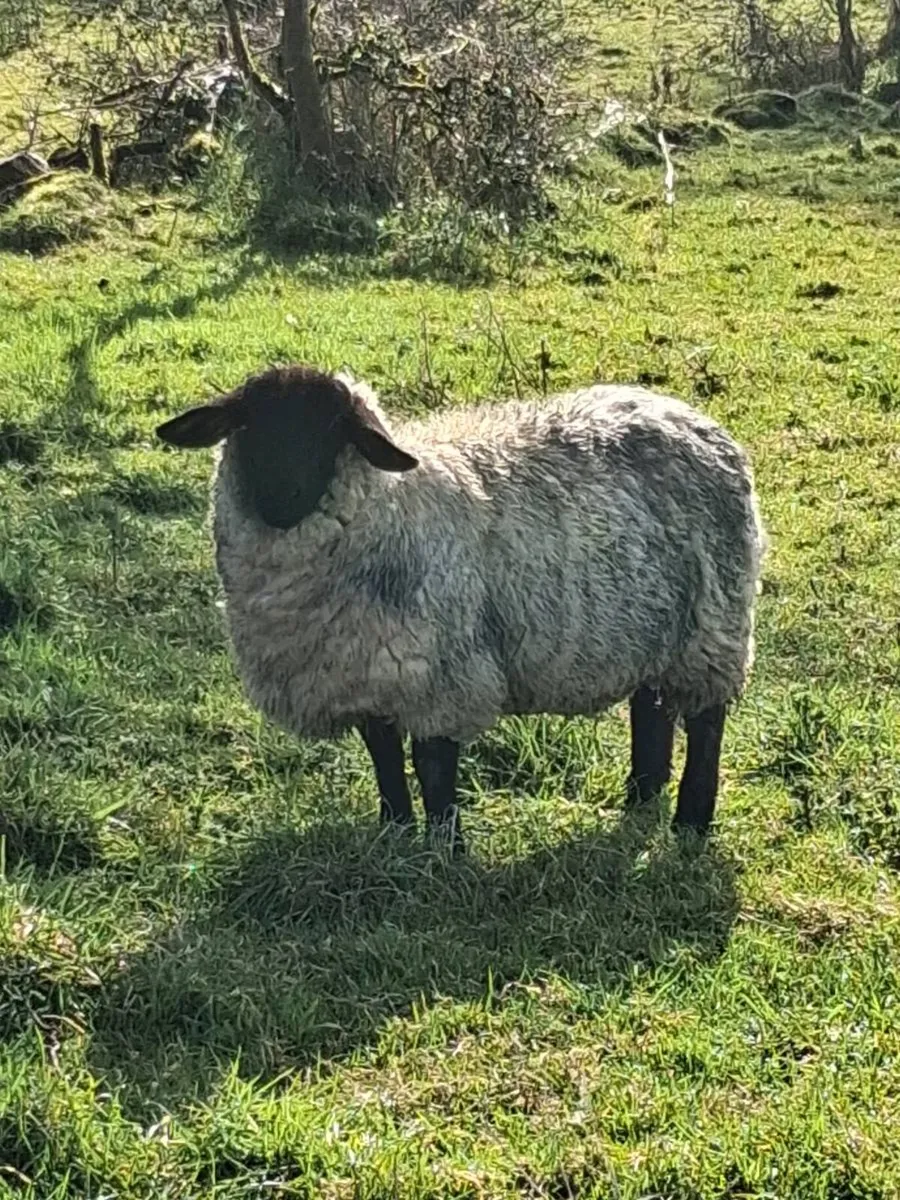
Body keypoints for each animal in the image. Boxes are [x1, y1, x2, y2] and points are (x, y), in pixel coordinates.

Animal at [156, 363, 766, 853]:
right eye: (247, 427)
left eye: (333, 432)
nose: (281, 499)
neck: (392, 507)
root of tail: (688, 416)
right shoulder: (370, 674)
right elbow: (383, 758)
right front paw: (395, 834)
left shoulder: (441, 678)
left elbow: (433, 768)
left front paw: (446, 850)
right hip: (649, 623)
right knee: (651, 707)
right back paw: (641, 797)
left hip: (712, 626)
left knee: (707, 722)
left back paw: (690, 823)